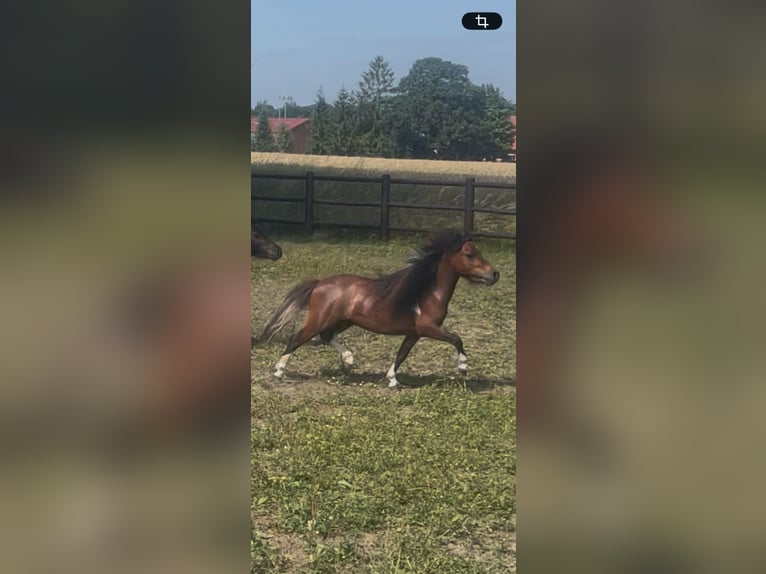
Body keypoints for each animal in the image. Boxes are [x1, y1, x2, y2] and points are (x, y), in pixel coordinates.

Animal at [256, 229, 499, 389]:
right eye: (469, 254)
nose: (494, 274)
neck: (427, 293)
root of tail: (319, 283)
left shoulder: (414, 333)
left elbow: (402, 354)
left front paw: (392, 380)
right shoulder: (429, 328)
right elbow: (457, 338)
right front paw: (463, 367)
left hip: (343, 321)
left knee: (326, 336)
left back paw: (349, 359)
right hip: (319, 320)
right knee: (296, 339)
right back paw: (278, 372)